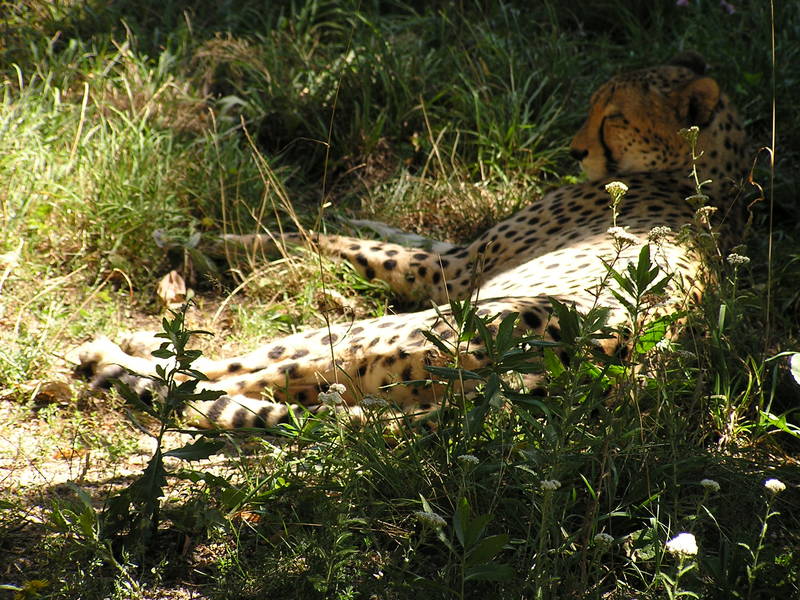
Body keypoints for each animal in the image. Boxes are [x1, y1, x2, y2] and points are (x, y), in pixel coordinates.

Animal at [72, 51, 748, 426]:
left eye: (614, 116)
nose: (576, 151)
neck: (706, 181)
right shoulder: (456, 254)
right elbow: (372, 228)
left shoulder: (449, 274)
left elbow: (319, 238)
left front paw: (208, 236)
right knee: (280, 383)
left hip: (394, 328)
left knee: (241, 374)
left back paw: (115, 354)